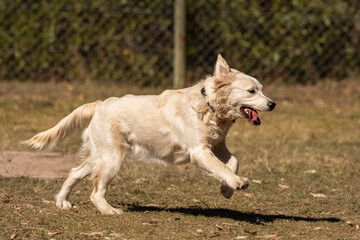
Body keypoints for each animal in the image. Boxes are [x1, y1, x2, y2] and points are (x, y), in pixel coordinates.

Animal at [24, 54, 276, 214]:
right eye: (251, 91)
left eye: (262, 89)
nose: (273, 104)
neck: (210, 108)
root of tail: (100, 104)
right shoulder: (200, 151)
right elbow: (222, 167)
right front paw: (235, 183)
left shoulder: (217, 146)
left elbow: (233, 162)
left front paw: (227, 189)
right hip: (112, 159)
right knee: (96, 192)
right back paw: (110, 211)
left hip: (99, 157)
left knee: (73, 173)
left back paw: (62, 202)